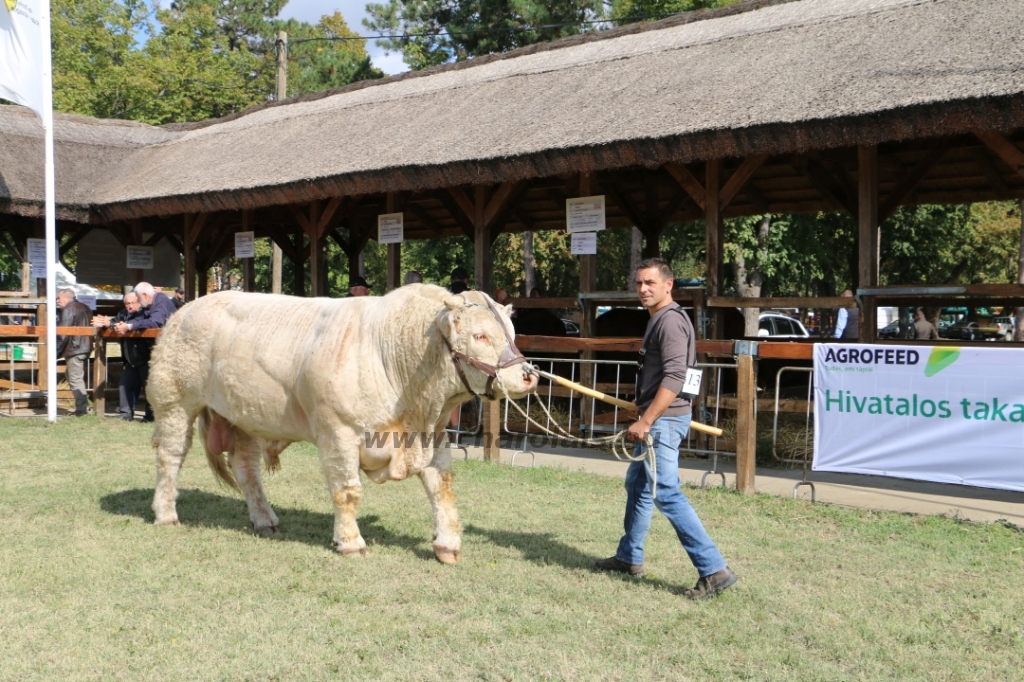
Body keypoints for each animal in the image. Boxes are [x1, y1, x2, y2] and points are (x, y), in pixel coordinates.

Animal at [149, 284, 540, 561]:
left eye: (512, 333)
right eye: (480, 335)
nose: (528, 376)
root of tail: (188, 308)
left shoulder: (435, 435)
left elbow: (440, 487)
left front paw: (447, 543)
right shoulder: (338, 432)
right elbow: (347, 491)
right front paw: (350, 541)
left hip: (244, 416)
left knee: (247, 470)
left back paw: (265, 519)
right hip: (174, 404)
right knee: (170, 458)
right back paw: (166, 513)